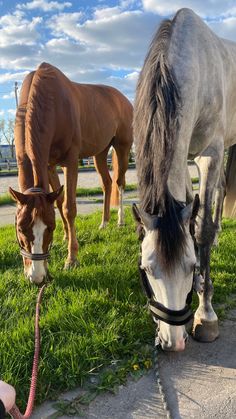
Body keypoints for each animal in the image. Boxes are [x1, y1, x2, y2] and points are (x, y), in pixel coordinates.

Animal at [10, 62, 133, 286]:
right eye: (21, 229)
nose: (37, 277)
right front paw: (67, 236)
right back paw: (104, 222)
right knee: (107, 183)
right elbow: (58, 202)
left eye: (50, 228)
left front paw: (71, 258)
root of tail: (123, 100)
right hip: (100, 152)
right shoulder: (49, 165)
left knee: (120, 182)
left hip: (122, 147)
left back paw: (120, 221)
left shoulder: (70, 161)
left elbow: (69, 207)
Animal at [133, 9, 236, 352]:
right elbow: (193, 218)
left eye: (190, 267)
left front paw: (206, 316)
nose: (172, 342)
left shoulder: (209, 154)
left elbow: (201, 230)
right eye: (147, 269)